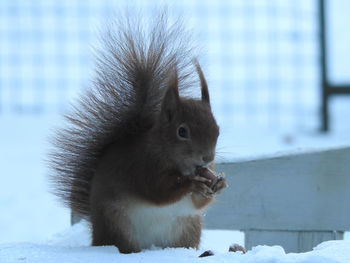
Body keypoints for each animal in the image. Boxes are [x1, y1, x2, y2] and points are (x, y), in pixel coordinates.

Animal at [50, 13, 227, 255]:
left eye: (217, 129)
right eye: (182, 131)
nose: (207, 158)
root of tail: (96, 234)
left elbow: (198, 203)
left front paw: (219, 184)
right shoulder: (141, 166)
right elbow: (158, 191)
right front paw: (192, 184)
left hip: (188, 228)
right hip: (118, 224)